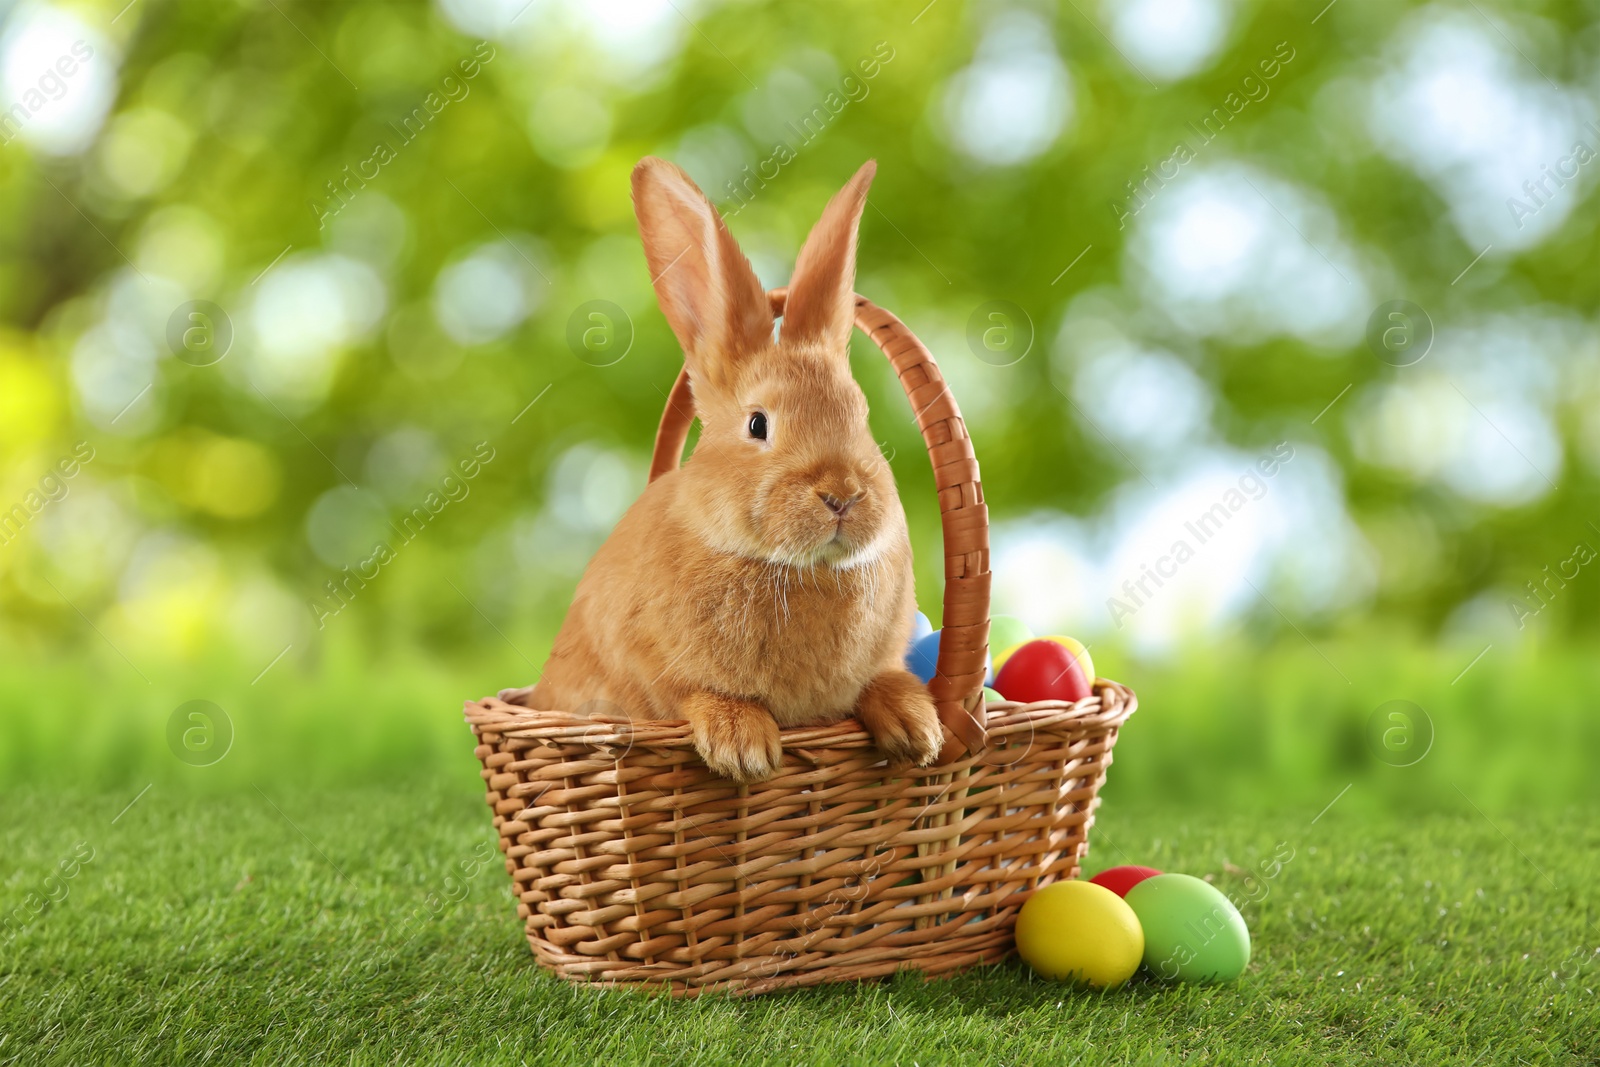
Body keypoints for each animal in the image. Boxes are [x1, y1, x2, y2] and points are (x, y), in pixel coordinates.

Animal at [502, 154, 947, 780]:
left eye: (860, 415)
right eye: (758, 425)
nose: (842, 494)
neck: (793, 568)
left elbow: (881, 682)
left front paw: (917, 729)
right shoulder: (649, 670)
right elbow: (694, 694)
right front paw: (743, 747)